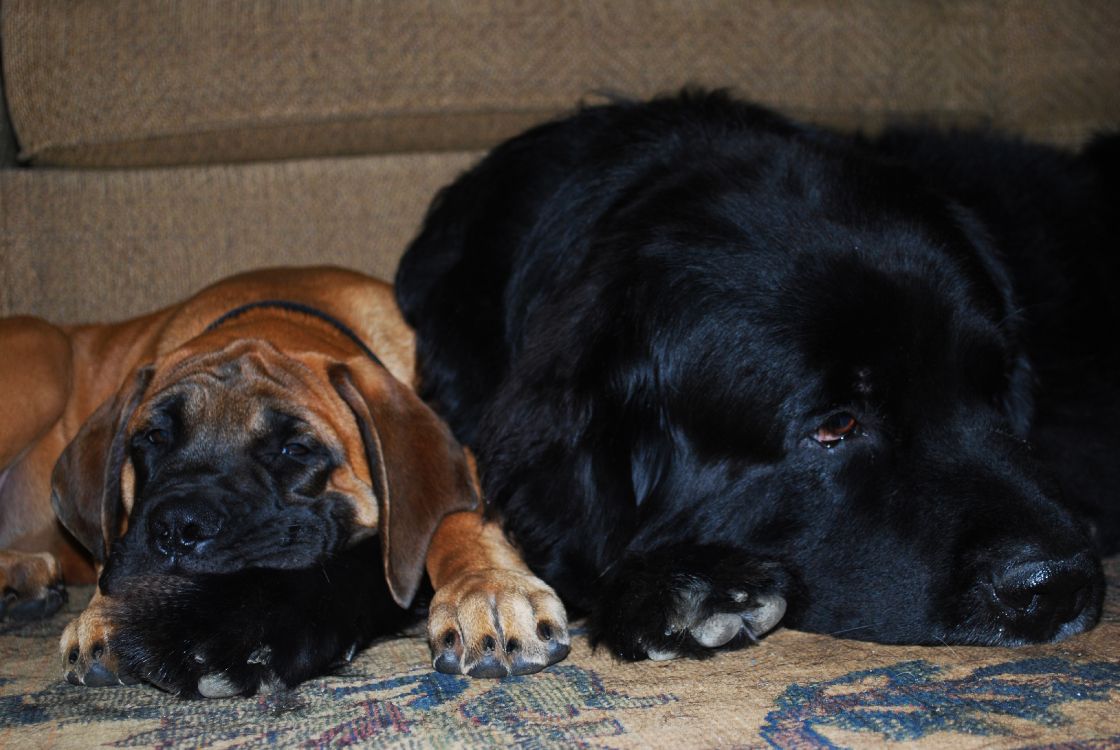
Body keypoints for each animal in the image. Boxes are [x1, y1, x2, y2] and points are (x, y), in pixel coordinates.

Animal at [0, 266, 568, 698]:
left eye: (296, 450)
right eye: (154, 439)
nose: (180, 527)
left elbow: (457, 518)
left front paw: (488, 588)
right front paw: (104, 612)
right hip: (44, 353)